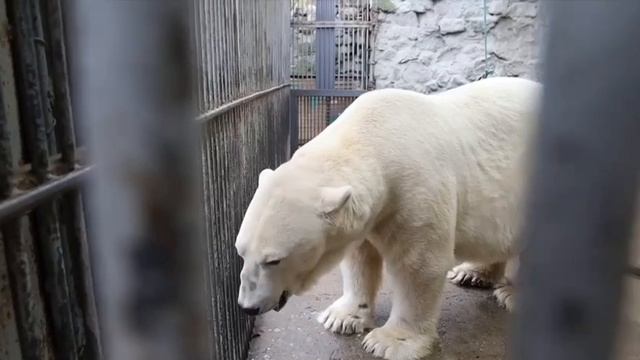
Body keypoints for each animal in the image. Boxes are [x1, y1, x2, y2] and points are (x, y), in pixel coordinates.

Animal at [235, 77, 540, 358]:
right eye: (241, 252)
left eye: (274, 260)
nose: (247, 307)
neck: (376, 137)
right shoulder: (371, 211)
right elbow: (358, 258)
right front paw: (342, 317)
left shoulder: (416, 189)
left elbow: (418, 265)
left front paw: (389, 342)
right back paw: (471, 273)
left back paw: (514, 295)